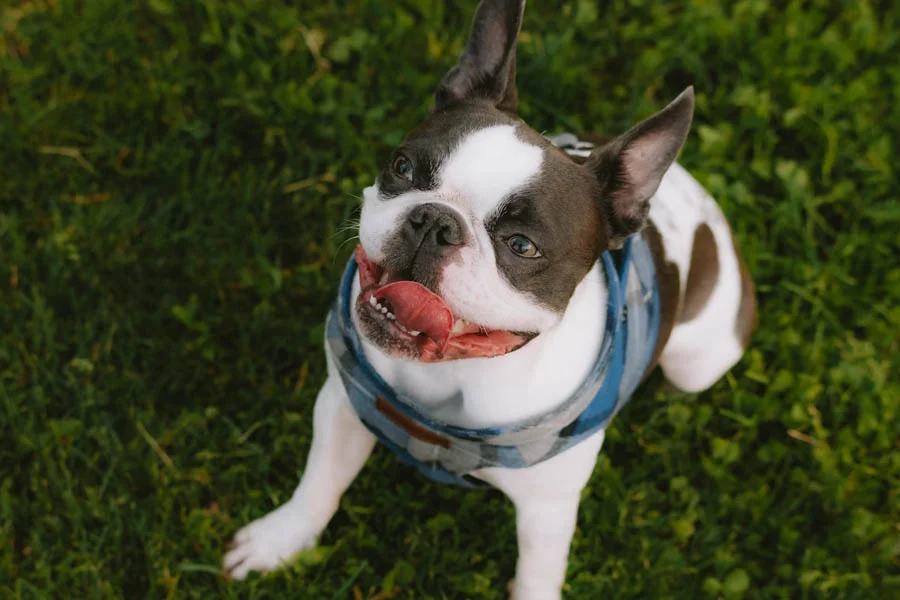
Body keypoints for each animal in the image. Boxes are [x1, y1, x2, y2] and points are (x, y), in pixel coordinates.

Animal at [223, 2, 752, 596]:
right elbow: (319, 486)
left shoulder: (548, 507)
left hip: (698, 364)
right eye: (402, 167)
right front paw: (278, 542)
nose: (434, 221)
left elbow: (537, 573)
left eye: (521, 246)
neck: (452, 376)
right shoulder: (342, 405)